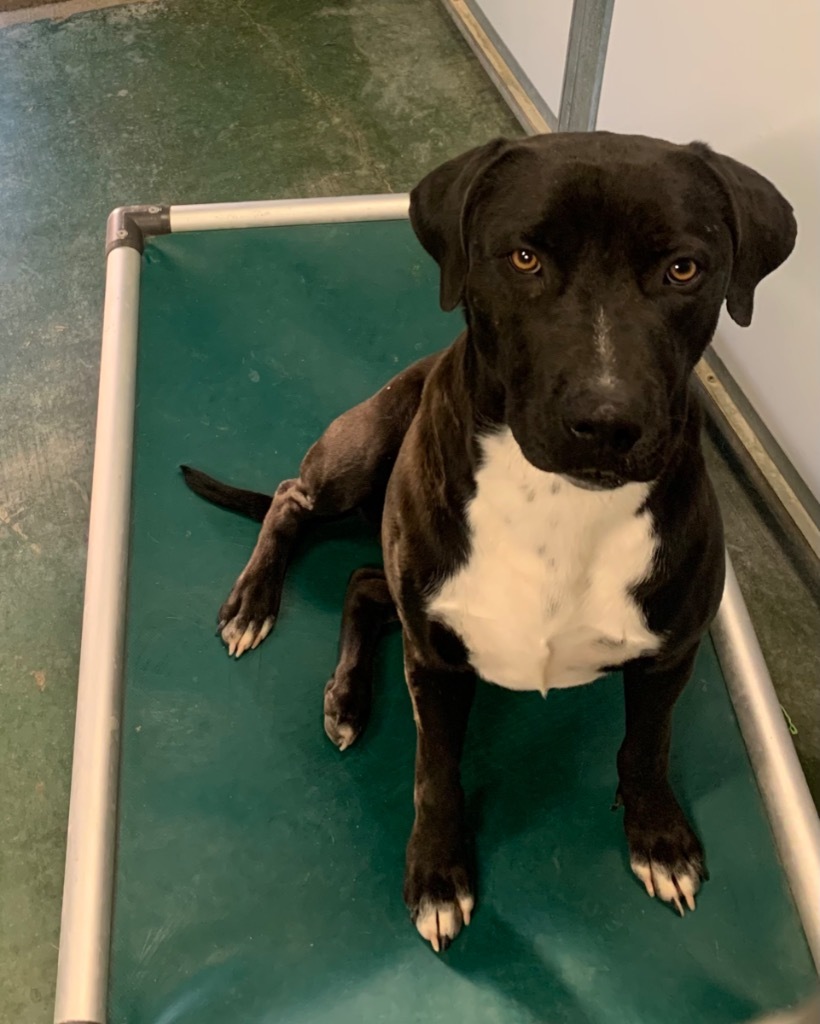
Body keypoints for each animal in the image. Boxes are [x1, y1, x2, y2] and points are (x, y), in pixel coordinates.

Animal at [184, 134, 794, 950]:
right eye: (525, 258)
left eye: (683, 269)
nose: (606, 422)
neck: (561, 504)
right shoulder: (437, 663)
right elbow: (435, 773)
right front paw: (437, 875)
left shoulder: (669, 656)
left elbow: (649, 746)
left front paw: (658, 837)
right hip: (362, 454)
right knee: (291, 500)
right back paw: (256, 606)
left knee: (363, 582)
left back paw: (346, 693)